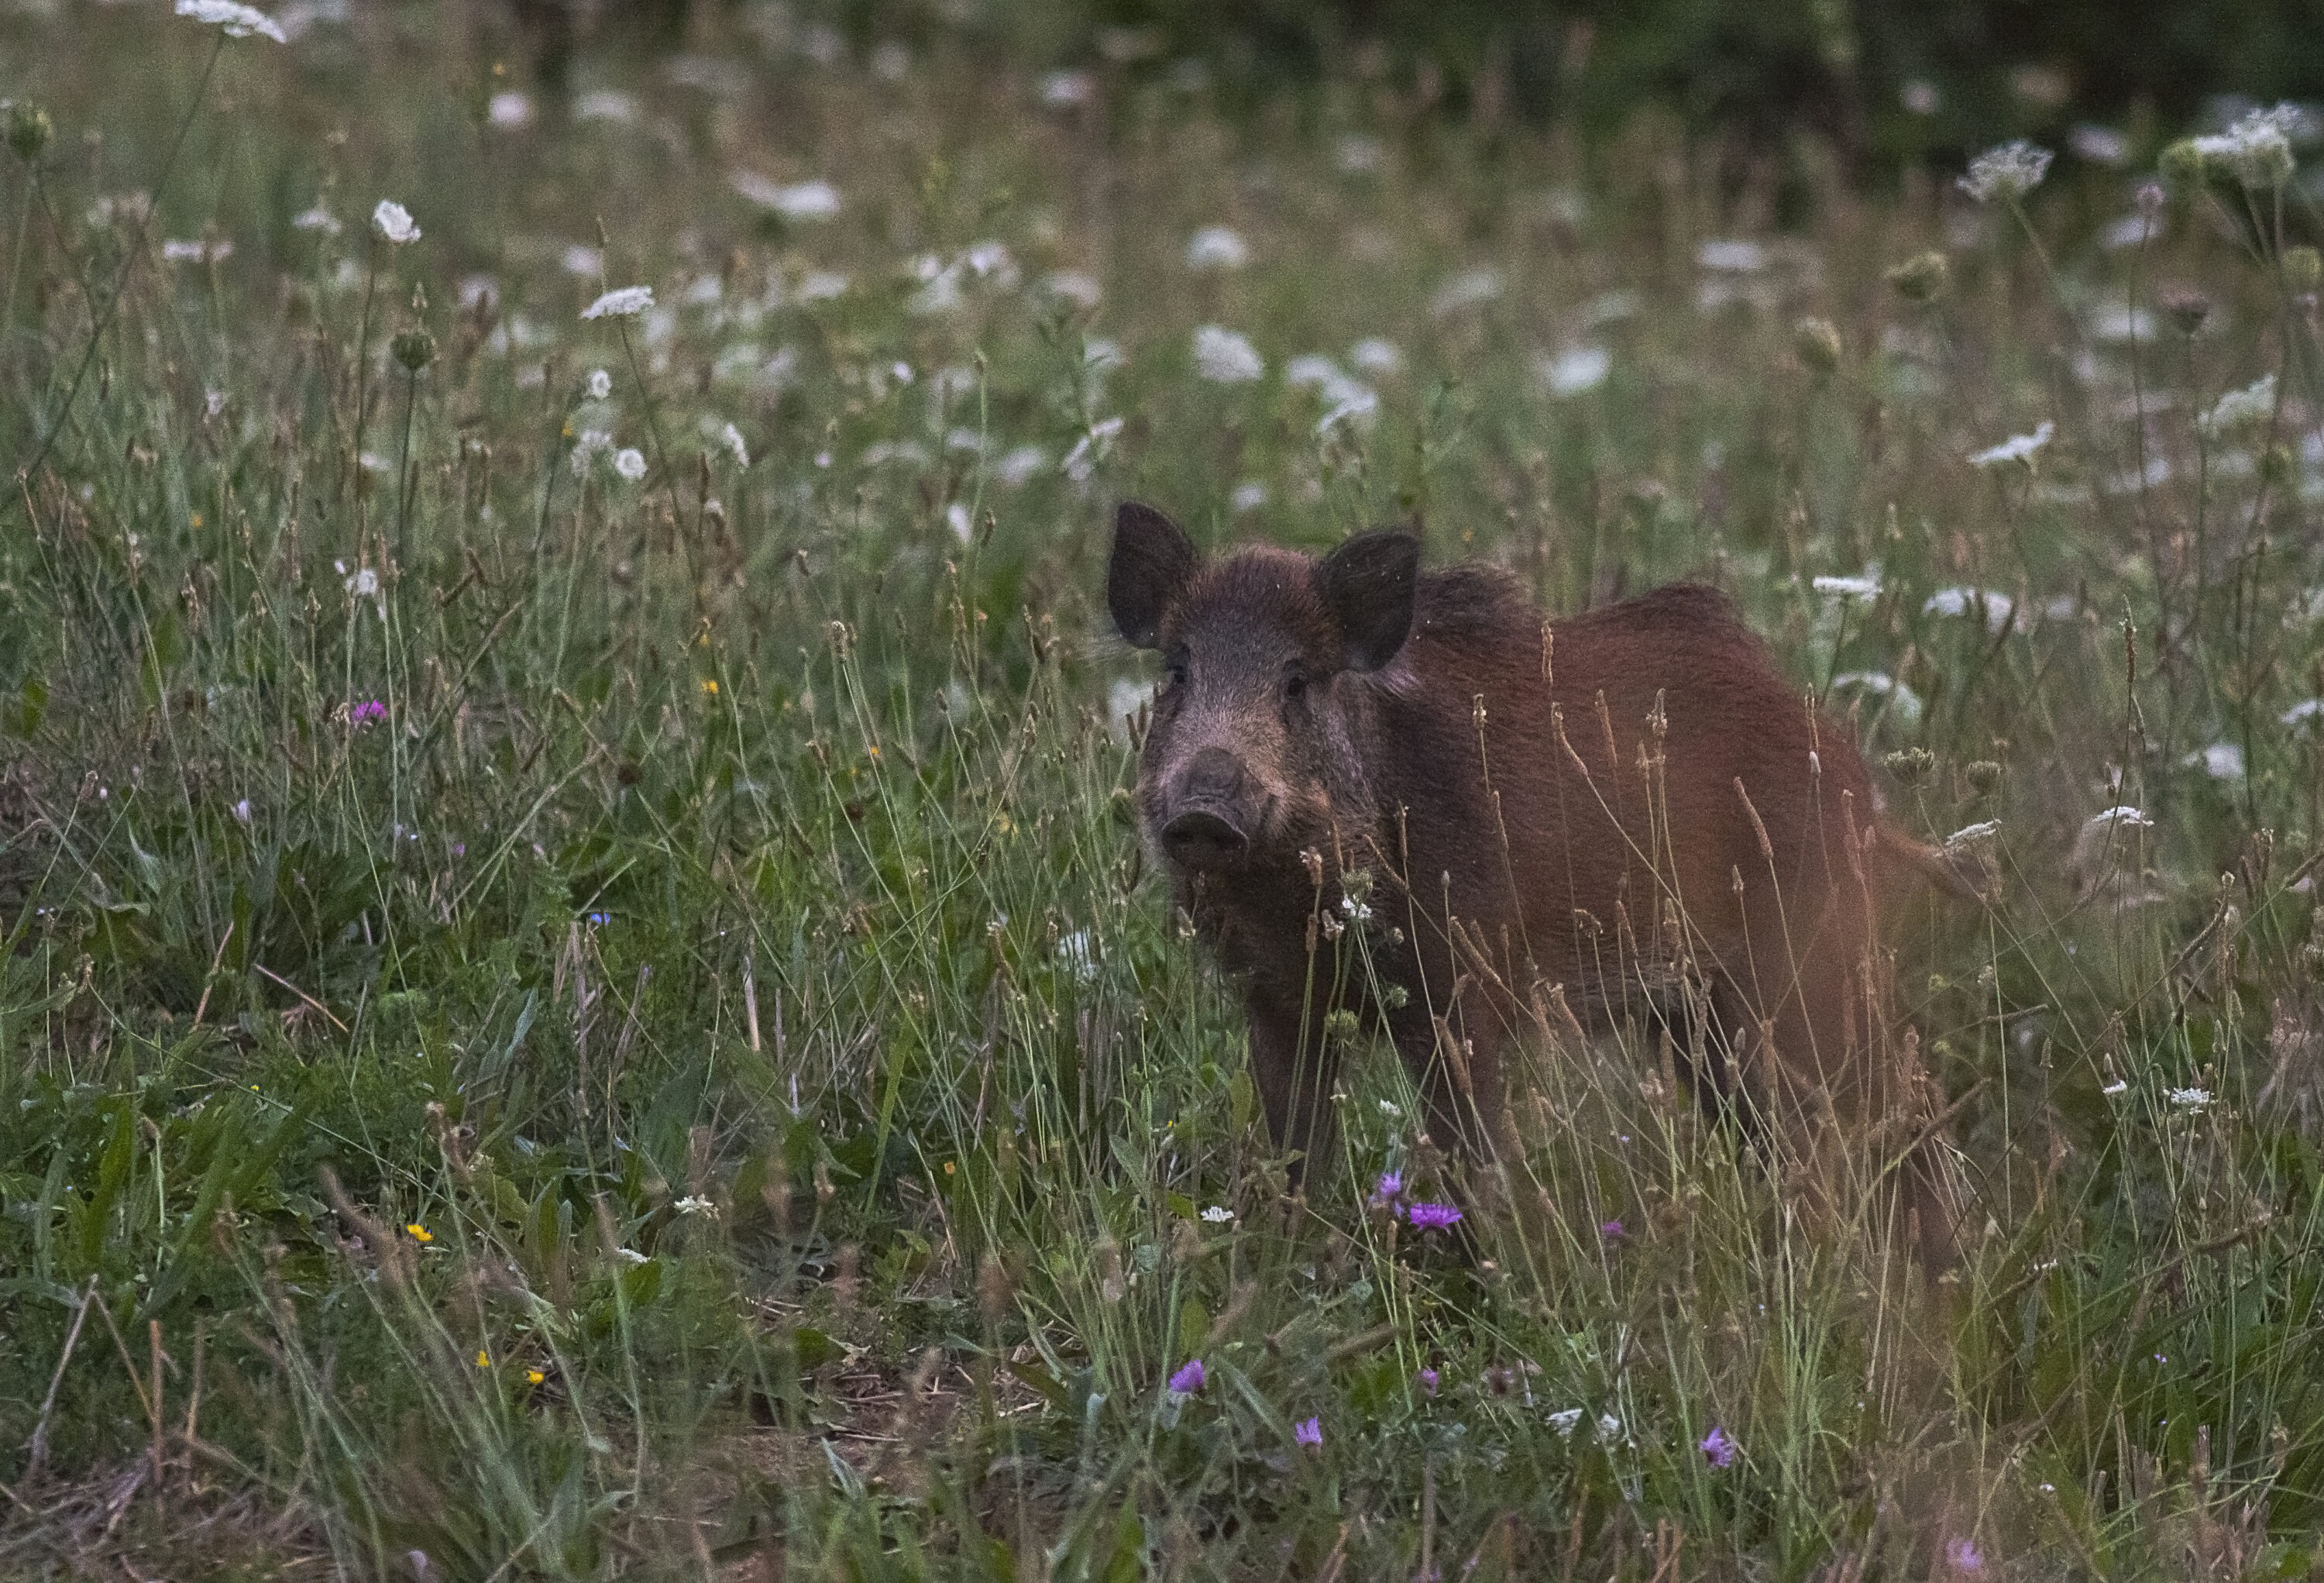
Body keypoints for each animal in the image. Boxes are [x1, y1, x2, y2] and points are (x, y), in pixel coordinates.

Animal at [1107, 500, 1962, 1270]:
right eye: (1177, 670)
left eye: (1297, 681)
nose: (1204, 808)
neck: (1298, 903)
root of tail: (1846, 764)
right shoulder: (1277, 1003)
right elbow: (1291, 1161)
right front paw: (1278, 1277)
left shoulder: (1463, 993)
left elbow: (1468, 1160)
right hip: (1701, 1016)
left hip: (1812, 965)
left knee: (1902, 1110)